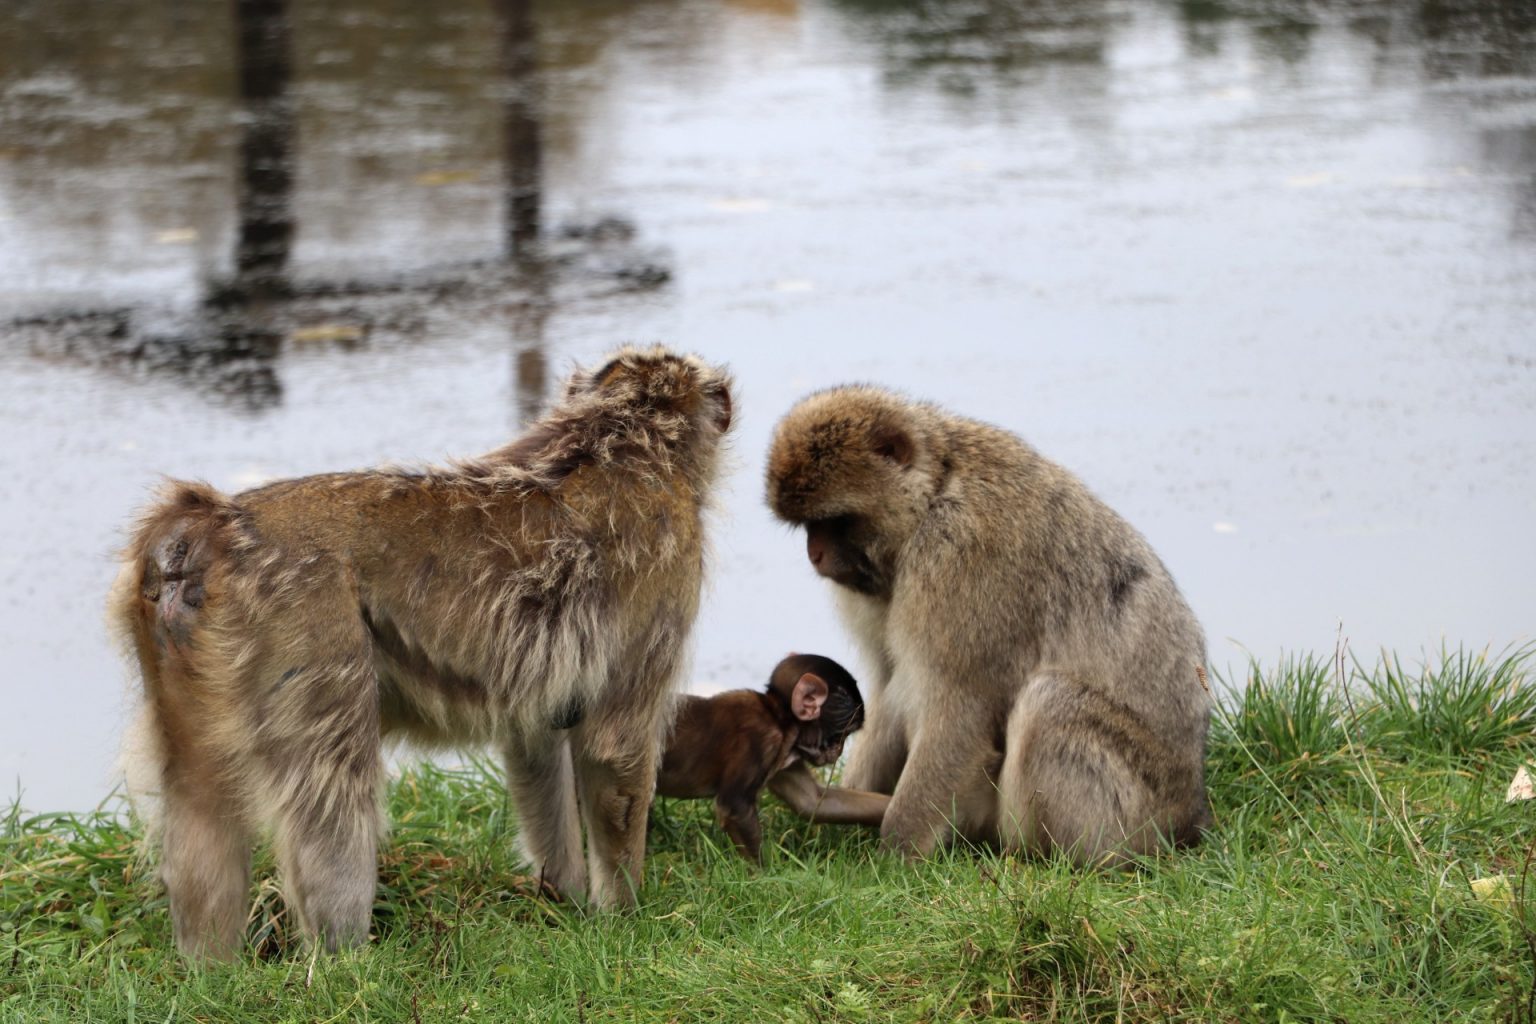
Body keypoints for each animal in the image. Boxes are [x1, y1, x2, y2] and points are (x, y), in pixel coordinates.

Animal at [108, 346, 731, 964]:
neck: (626, 435)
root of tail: (215, 523)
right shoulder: (664, 580)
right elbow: (615, 748)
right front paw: (624, 917)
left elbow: (535, 739)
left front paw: (566, 900)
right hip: (309, 627)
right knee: (334, 788)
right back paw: (344, 964)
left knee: (198, 802)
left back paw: (208, 969)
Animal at [657, 654, 897, 859]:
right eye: (842, 735)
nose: (837, 752)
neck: (779, 717)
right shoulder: (762, 740)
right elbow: (734, 806)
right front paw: (761, 878)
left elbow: (814, 802)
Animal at [764, 383, 1210, 865]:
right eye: (809, 527)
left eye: (833, 521)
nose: (815, 553)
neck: (936, 491)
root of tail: (1189, 817)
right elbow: (888, 684)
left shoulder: (962, 555)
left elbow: (960, 708)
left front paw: (895, 854)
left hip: (1131, 817)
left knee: (1050, 702)